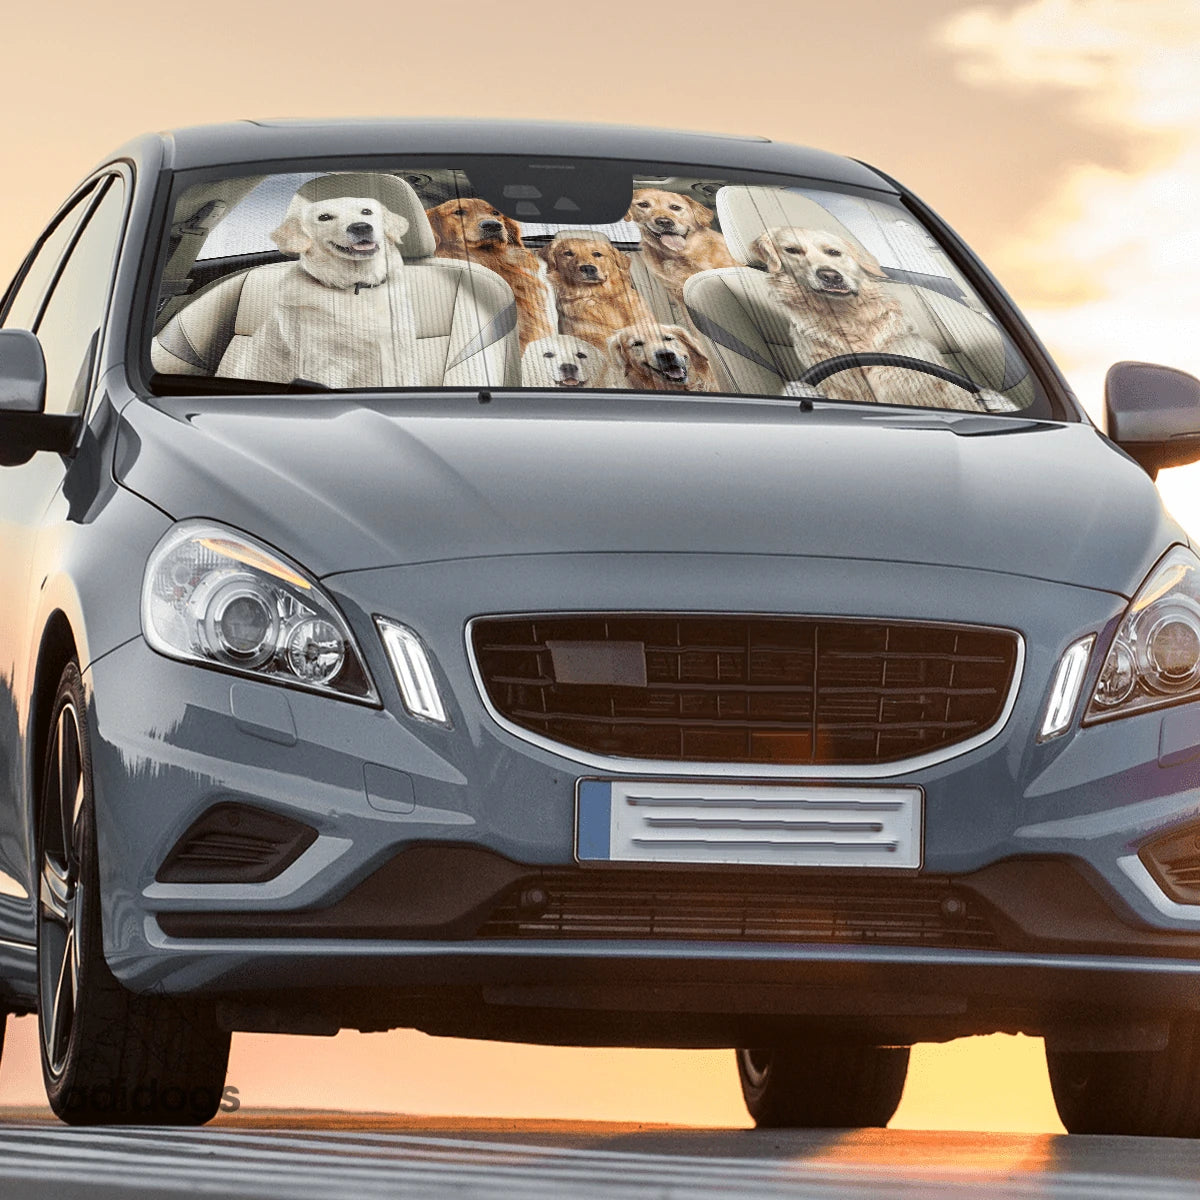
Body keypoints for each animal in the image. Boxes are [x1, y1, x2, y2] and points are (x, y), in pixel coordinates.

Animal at [214, 194, 417, 386]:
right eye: (324, 217)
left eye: (366, 212)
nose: (361, 227)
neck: (357, 286)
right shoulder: (329, 365)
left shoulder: (400, 357)